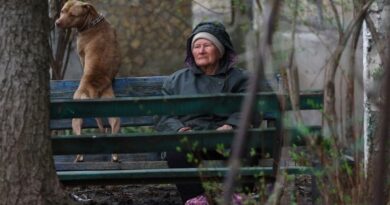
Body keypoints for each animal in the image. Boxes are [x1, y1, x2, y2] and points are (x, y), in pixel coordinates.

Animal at [55, 0, 121, 163]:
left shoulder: (81, 55)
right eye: (62, 11)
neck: (93, 22)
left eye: (72, 14)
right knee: (113, 131)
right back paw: (115, 156)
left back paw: (79, 158)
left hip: (76, 117)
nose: (57, 22)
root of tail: (94, 90)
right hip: (114, 114)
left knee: (78, 136)